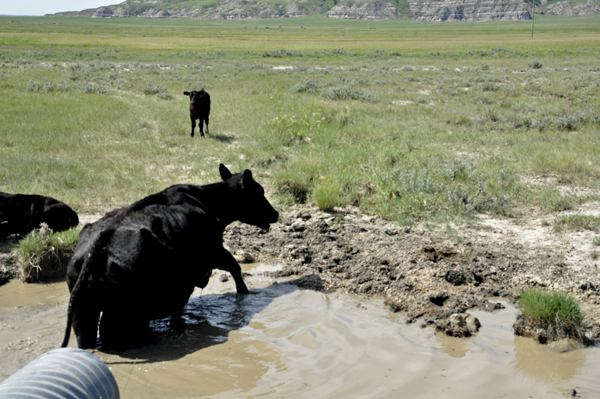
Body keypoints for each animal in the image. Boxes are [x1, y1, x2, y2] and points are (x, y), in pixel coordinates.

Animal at [59, 163, 280, 350]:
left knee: (86, 334)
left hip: (83, 308)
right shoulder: (215, 251)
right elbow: (235, 267)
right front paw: (244, 293)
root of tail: (98, 245)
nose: (276, 213)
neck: (207, 201)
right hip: (126, 310)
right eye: (259, 192)